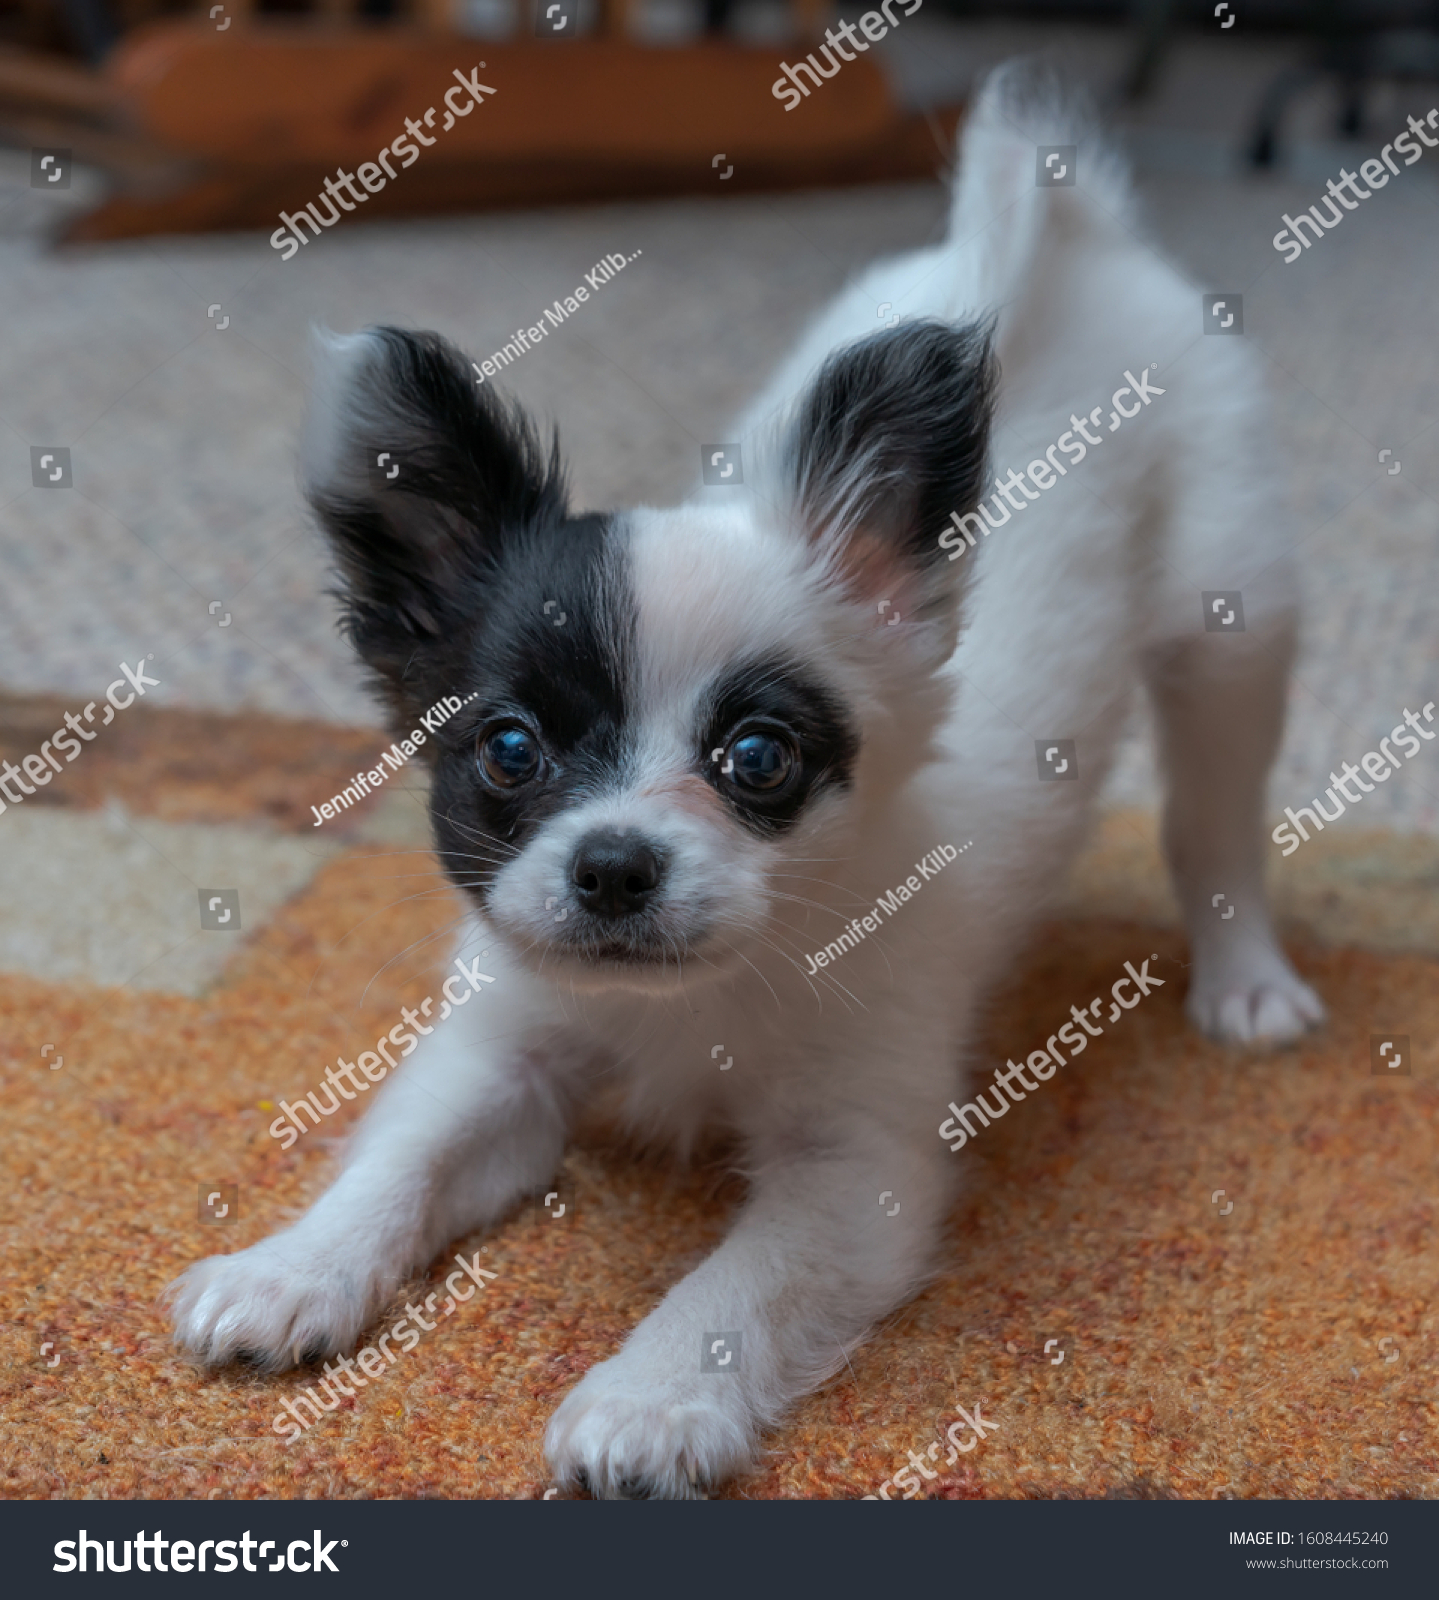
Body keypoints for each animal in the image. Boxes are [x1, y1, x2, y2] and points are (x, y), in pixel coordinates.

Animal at [174, 68, 1325, 1497]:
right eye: (510, 752)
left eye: (757, 759)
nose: (614, 864)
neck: (691, 1005)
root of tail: (1085, 246)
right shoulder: (495, 1058)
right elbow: (400, 1157)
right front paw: (293, 1268)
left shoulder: (854, 1167)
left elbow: (736, 1286)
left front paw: (649, 1398)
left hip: (1231, 631)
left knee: (1213, 824)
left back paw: (1246, 981)